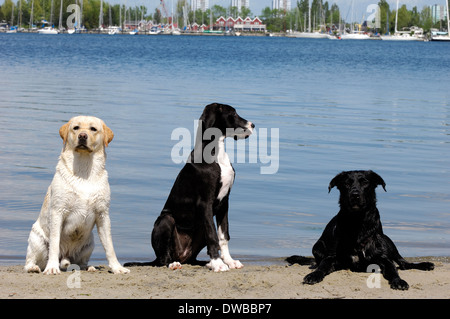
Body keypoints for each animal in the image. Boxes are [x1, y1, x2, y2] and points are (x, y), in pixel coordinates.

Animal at [24, 116, 129, 276]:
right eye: (76, 128)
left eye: (93, 129)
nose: (82, 136)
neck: (84, 171)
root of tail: (66, 255)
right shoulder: (57, 212)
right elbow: (54, 243)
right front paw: (52, 267)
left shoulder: (103, 214)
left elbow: (109, 246)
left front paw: (117, 267)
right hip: (37, 239)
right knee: (30, 260)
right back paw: (34, 267)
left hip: (89, 243)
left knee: (80, 262)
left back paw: (88, 267)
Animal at [125, 103, 255, 272]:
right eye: (233, 114)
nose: (253, 125)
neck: (216, 153)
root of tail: (182, 256)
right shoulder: (205, 203)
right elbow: (213, 235)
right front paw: (218, 264)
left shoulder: (224, 203)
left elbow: (223, 235)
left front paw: (229, 261)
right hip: (166, 220)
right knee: (163, 258)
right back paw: (173, 263)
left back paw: (205, 262)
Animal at [286, 171, 434, 292]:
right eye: (346, 183)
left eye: (365, 182)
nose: (355, 195)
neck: (357, 221)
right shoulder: (331, 257)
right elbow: (322, 266)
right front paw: (314, 275)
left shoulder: (384, 258)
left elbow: (393, 270)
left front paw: (399, 281)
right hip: (317, 246)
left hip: (388, 241)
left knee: (403, 263)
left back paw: (425, 264)